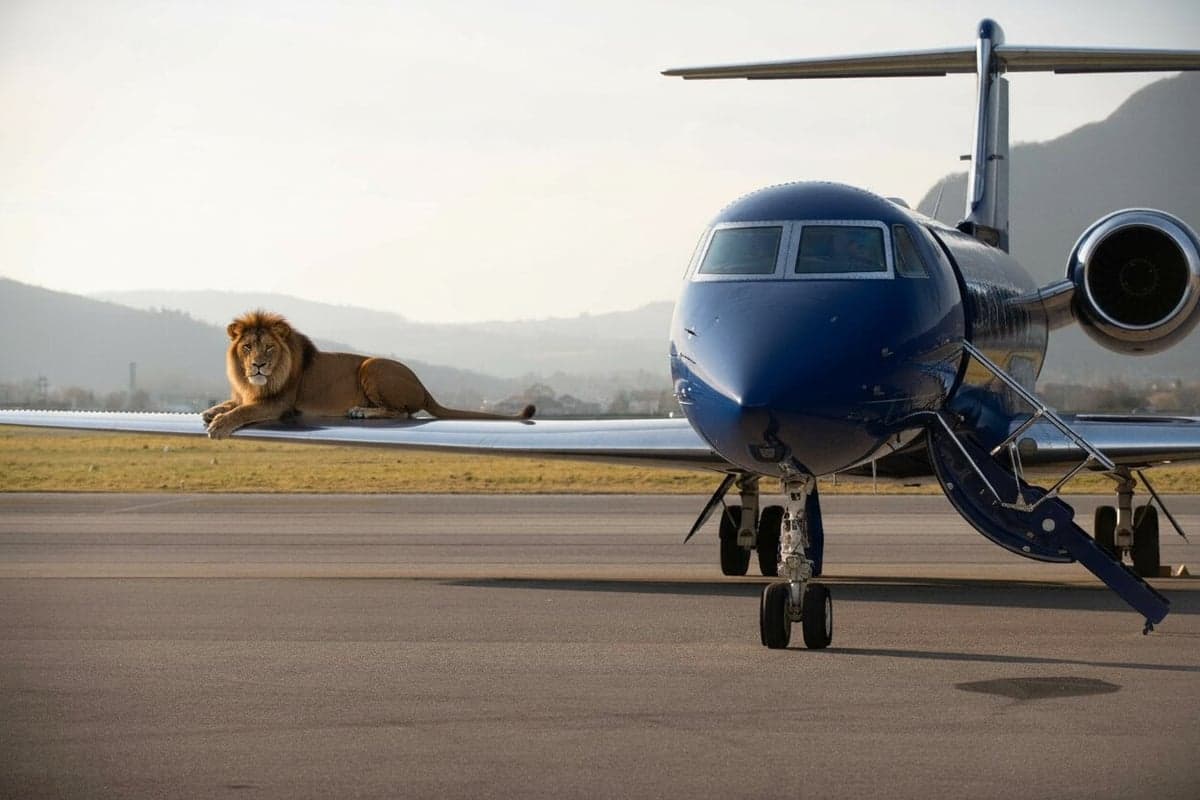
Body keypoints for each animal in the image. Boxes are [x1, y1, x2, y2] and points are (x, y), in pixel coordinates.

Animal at [201, 310, 535, 439]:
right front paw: (212, 411)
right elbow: (234, 403)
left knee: (403, 413)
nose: (257, 365)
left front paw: (219, 424)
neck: (254, 382)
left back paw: (362, 411)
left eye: (269, 348)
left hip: (372, 366)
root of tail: (422, 385)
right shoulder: (248, 392)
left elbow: (245, 410)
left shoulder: (279, 403)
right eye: (247, 347)